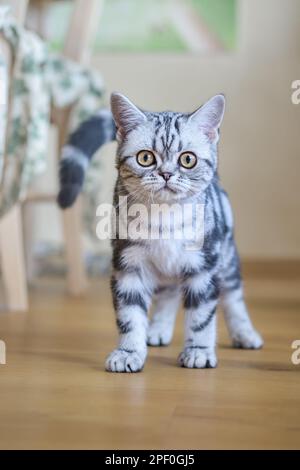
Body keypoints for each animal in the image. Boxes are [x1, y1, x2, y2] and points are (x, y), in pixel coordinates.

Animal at [58, 92, 262, 370]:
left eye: (188, 159)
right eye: (145, 158)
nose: (166, 173)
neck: (164, 220)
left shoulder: (203, 266)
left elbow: (201, 317)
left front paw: (198, 351)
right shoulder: (128, 264)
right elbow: (130, 314)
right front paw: (129, 351)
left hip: (226, 256)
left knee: (233, 297)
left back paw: (244, 333)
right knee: (169, 294)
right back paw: (157, 330)